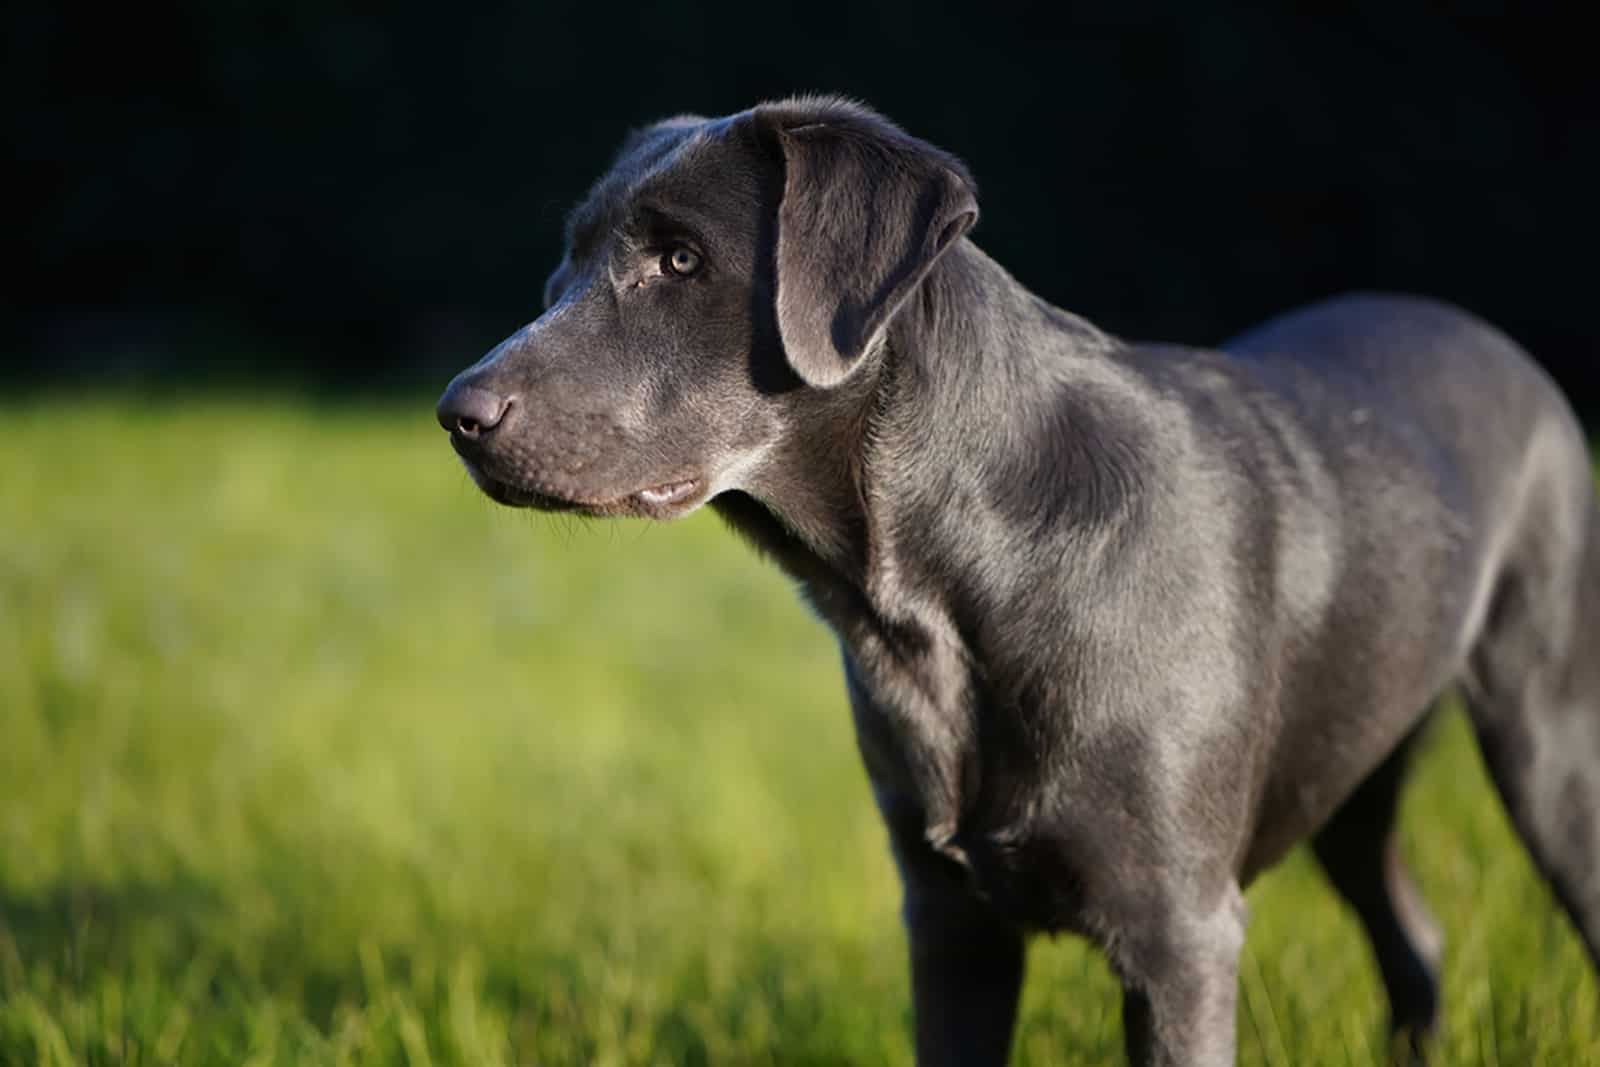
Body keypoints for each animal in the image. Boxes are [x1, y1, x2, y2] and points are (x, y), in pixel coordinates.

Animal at [438, 95, 1600, 1062]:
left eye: (680, 259)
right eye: (565, 265)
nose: (459, 414)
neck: (943, 597)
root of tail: (1503, 348)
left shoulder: (1180, 936)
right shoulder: (951, 922)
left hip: (1549, 743)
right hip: (1353, 764)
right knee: (1414, 937)